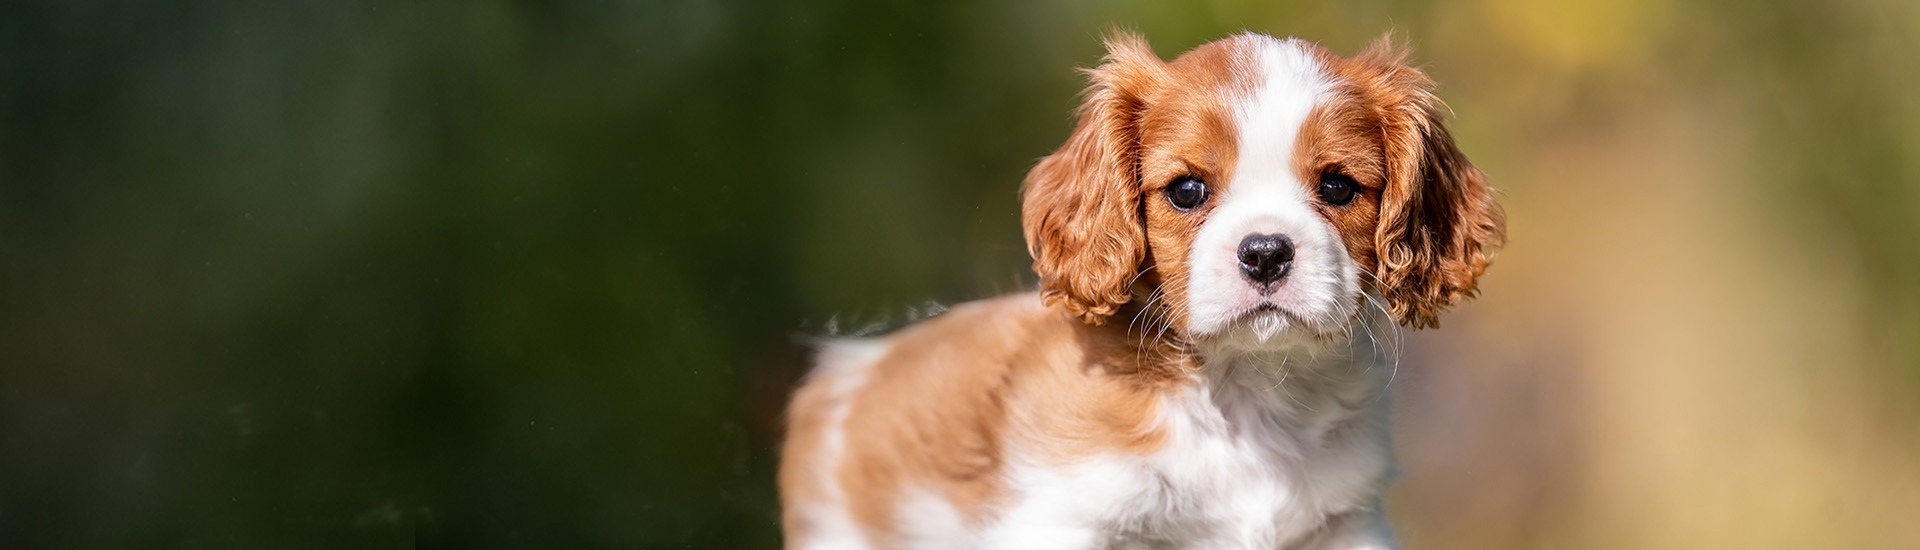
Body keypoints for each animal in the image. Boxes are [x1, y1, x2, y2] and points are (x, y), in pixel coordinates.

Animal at [775, 32, 1497, 546]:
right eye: (1187, 190)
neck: (1244, 394)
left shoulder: (1345, 524)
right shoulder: (1063, 518)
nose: (1265, 253)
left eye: (1339, 186)